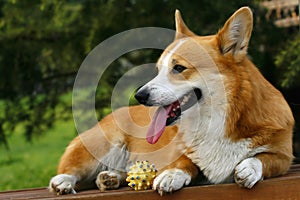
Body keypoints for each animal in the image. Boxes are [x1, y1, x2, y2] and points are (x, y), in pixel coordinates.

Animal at [49, 7, 292, 195]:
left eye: (179, 68)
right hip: (102, 145)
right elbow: (184, 162)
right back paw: (63, 182)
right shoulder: (182, 154)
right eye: (158, 69)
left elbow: (262, 158)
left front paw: (249, 168)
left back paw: (109, 178)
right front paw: (171, 175)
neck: (219, 120)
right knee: (71, 170)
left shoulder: (283, 156)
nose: (140, 95)